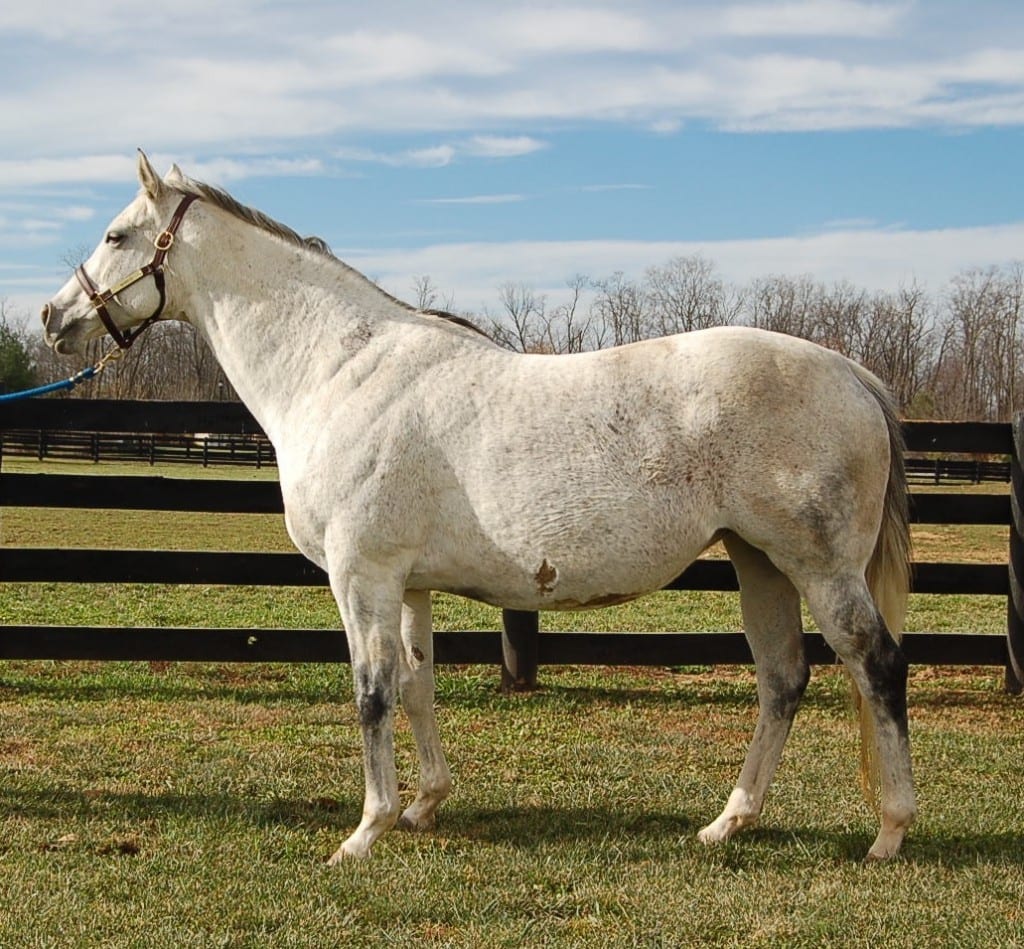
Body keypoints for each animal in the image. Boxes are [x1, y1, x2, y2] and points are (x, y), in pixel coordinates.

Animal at [44, 152, 917, 864]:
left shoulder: (361, 575)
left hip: (819, 567)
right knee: (782, 679)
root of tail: (851, 372)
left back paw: (889, 830)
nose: (56, 317)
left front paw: (365, 830)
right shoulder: (408, 583)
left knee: (875, 664)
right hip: (757, 559)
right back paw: (727, 822)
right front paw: (424, 805)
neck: (339, 368)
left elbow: (371, 691)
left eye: (118, 234)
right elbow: (417, 682)